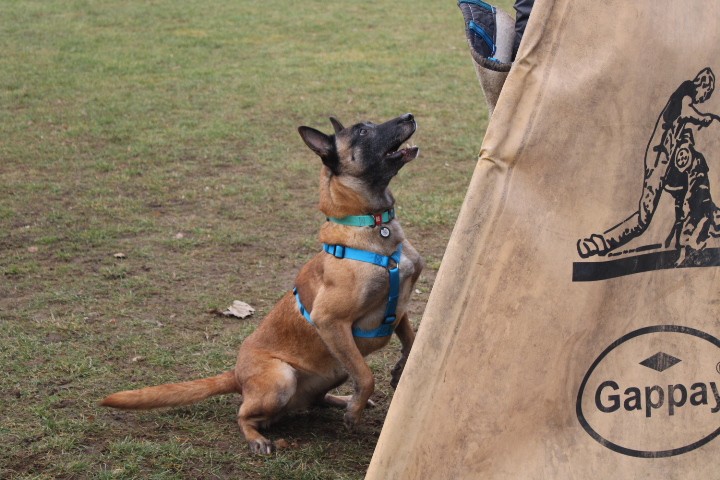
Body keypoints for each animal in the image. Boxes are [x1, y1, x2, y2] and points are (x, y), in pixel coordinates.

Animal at [99, 113, 424, 454]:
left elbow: (410, 338)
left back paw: (342, 398)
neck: (373, 227)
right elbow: (365, 373)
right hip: (282, 378)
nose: (409, 116)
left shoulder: (399, 307)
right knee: (243, 415)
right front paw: (355, 412)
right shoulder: (330, 320)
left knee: (316, 399)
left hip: (333, 370)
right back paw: (260, 438)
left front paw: (398, 370)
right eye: (362, 131)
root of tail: (236, 374)